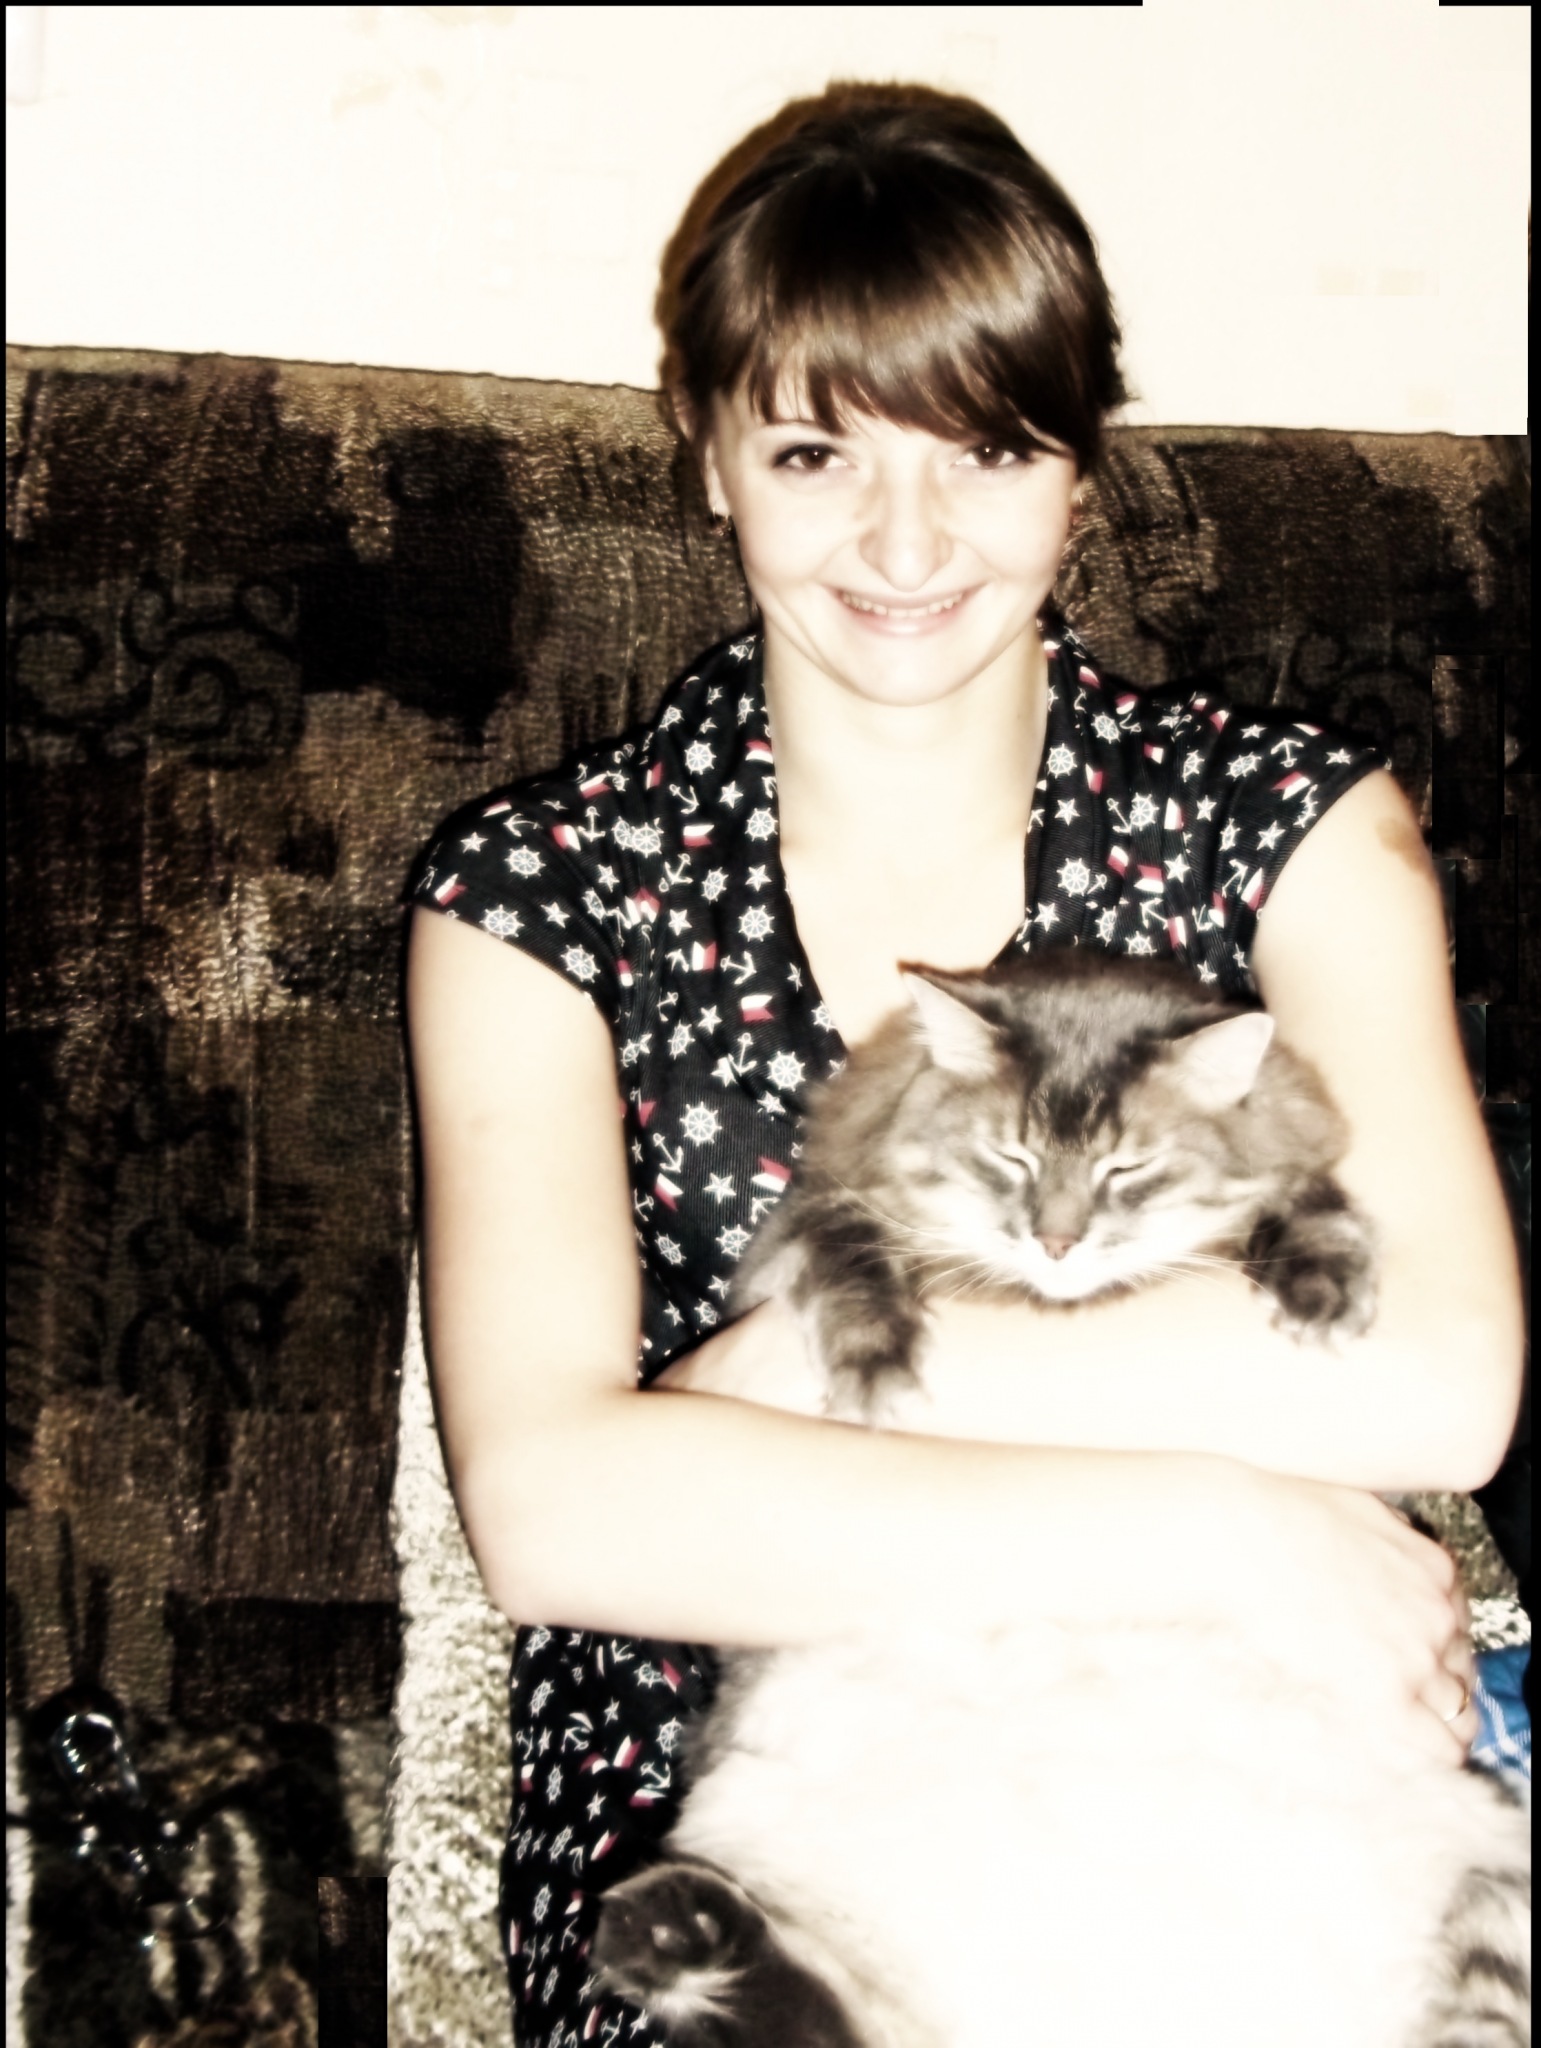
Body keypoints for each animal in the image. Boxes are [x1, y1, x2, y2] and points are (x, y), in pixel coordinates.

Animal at [593, 951, 1531, 2048]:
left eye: (1126, 1170)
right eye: (1009, 1159)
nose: (1055, 1242)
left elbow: (1295, 1200)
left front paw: (1319, 1284)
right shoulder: (801, 1237)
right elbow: (850, 1249)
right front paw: (877, 1365)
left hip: (1494, 1876)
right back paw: (670, 1932)